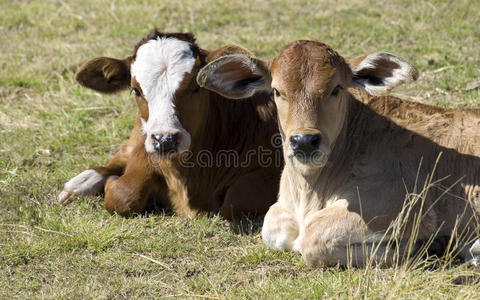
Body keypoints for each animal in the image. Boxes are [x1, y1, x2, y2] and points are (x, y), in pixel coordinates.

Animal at [198, 39, 480, 264]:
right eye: (277, 91)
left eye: (336, 88)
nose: (304, 141)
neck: (308, 191)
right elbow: (272, 227)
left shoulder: (406, 206)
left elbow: (312, 238)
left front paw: (419, 246)